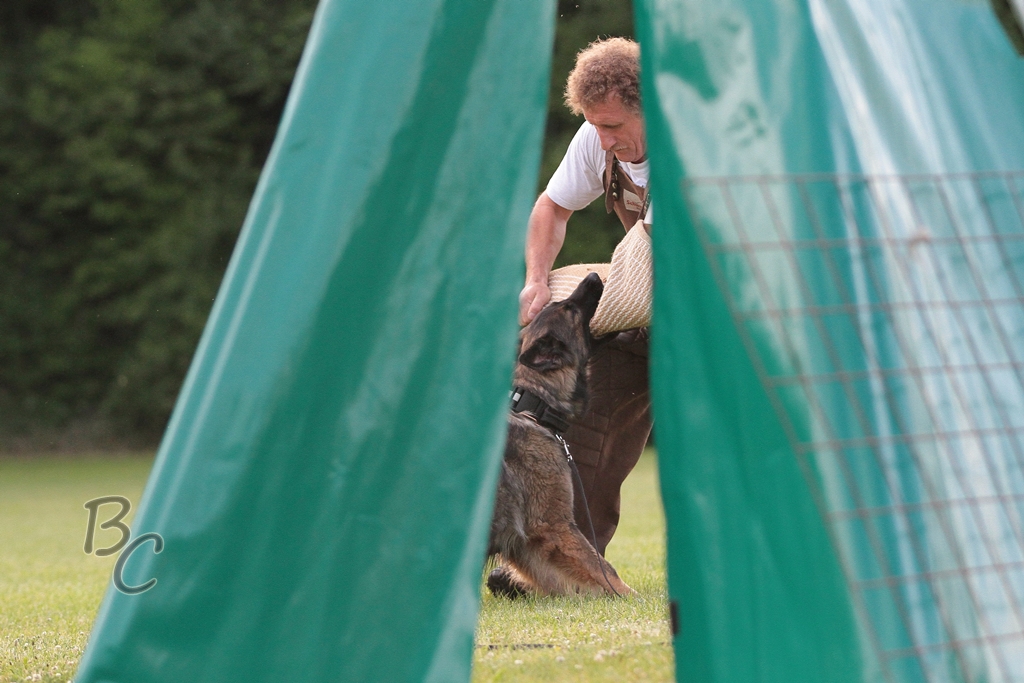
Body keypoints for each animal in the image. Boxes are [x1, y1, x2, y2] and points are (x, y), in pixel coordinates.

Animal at [487, 274, 630, 598]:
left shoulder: (529, 546)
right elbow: (606, 570)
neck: (532, 405)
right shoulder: (556, 527)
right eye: (569, 309)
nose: (593, 276)